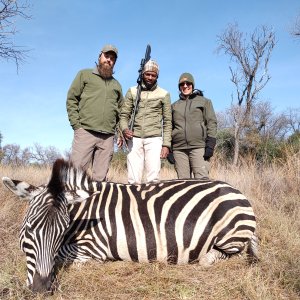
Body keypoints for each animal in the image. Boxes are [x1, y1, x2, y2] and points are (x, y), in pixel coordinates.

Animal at [1, 159, 258, 292]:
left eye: (60, 233)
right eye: (29, 229)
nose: (40, 289)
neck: (83, 212)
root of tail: (237, 191)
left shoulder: (94, 245)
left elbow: (66, 257)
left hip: (230, 236)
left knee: (229, 254)